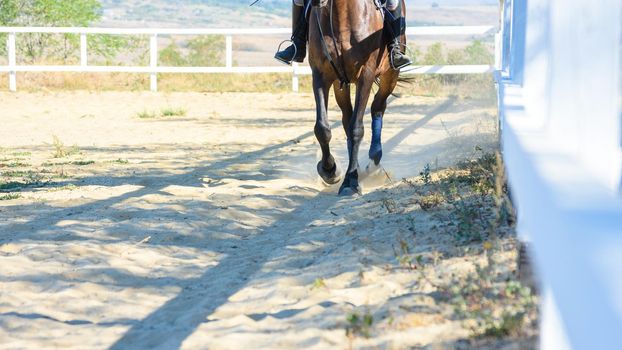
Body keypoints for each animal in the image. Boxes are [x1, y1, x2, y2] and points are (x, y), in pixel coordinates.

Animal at [310, 0, 408, 196]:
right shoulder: (320, 75)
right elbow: (322, 128)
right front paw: (330, 170)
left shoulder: (366, 75)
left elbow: (356, 129)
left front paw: (351, 181)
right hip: (341, 84)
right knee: (347, 117)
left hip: (390, 75)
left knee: (378, 107)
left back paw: (374, 162)